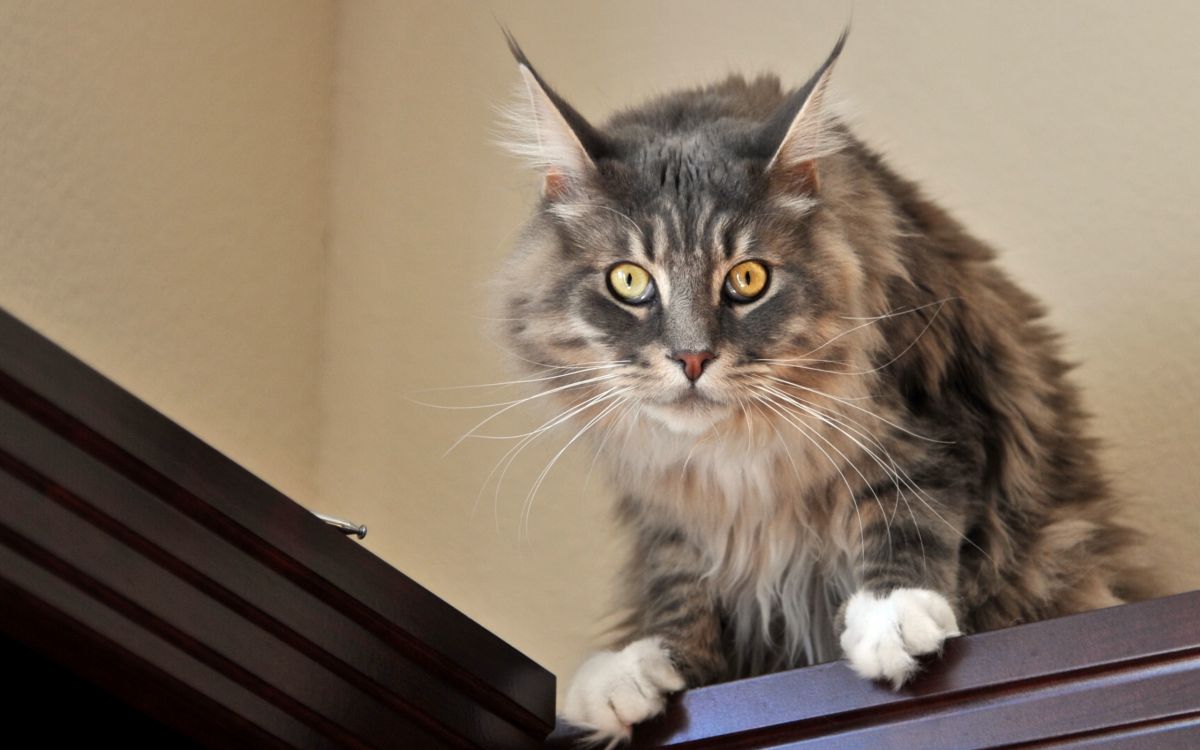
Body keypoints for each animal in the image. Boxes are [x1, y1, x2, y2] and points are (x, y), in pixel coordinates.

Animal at [494, 30, 1142, 744]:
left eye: (748, 278)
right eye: (630, 281)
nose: (692, 357)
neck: (735, 455)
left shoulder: (929, 420)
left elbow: (907, 512)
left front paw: (891, 614)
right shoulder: (666, 504)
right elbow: (679, 582)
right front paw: (647, 665)